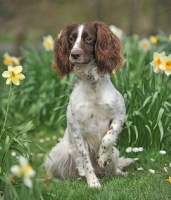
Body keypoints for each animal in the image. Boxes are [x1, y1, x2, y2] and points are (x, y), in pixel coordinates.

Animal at [45, 21, 134, 187]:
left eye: (89, 38)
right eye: (71, 38)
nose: (74, 54)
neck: (92, 85)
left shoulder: (119, 115)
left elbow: (108, 138)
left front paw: (103, 157)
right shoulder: (77, 129)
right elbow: (85, 160)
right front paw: (93, 184)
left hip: (116, 153)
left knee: (112, 168)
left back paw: (120, 172)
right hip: (56, 154)